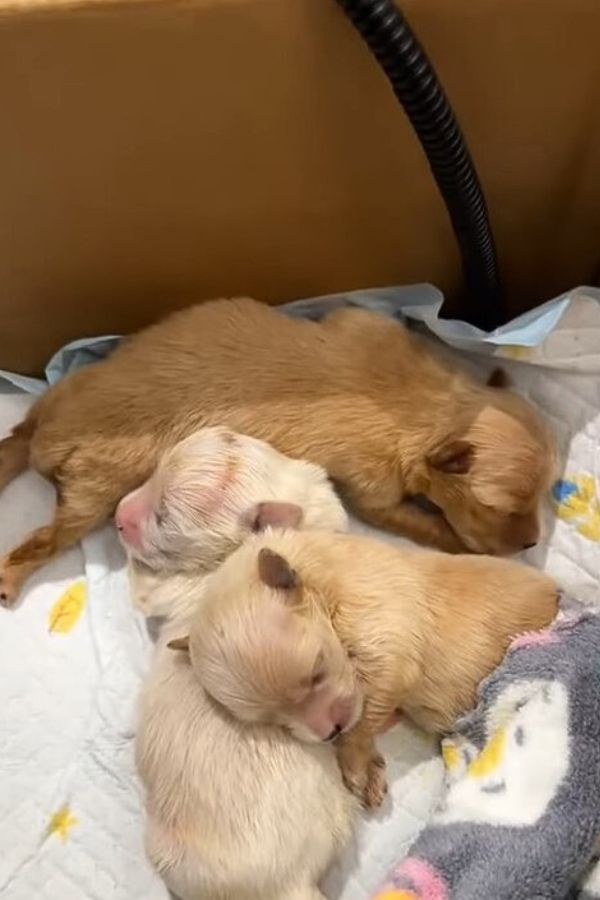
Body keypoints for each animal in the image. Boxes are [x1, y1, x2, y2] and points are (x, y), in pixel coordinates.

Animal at [0, 298, 552, 604]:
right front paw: (470, 546)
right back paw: (12, 576)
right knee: (44, 538)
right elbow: (427, 525)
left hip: (60, 399)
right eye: (499, 508)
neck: (432, 406)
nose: (531, 543)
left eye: (543, 493)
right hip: (97, 487)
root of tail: (44, 431)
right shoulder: (374, 496)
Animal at [119, 428, 358, 900]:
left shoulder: (171, 589)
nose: (117, 515)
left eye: (163, 519)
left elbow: (145, 589)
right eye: (154, 473)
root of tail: (289, 883)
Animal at [173, 532, 556, 812]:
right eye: (274, 721)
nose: (329, 732)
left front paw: (355, 764)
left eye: (317, 672)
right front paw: (369, 767)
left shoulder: (384, 642)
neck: (321, 578)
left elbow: (363, 717)